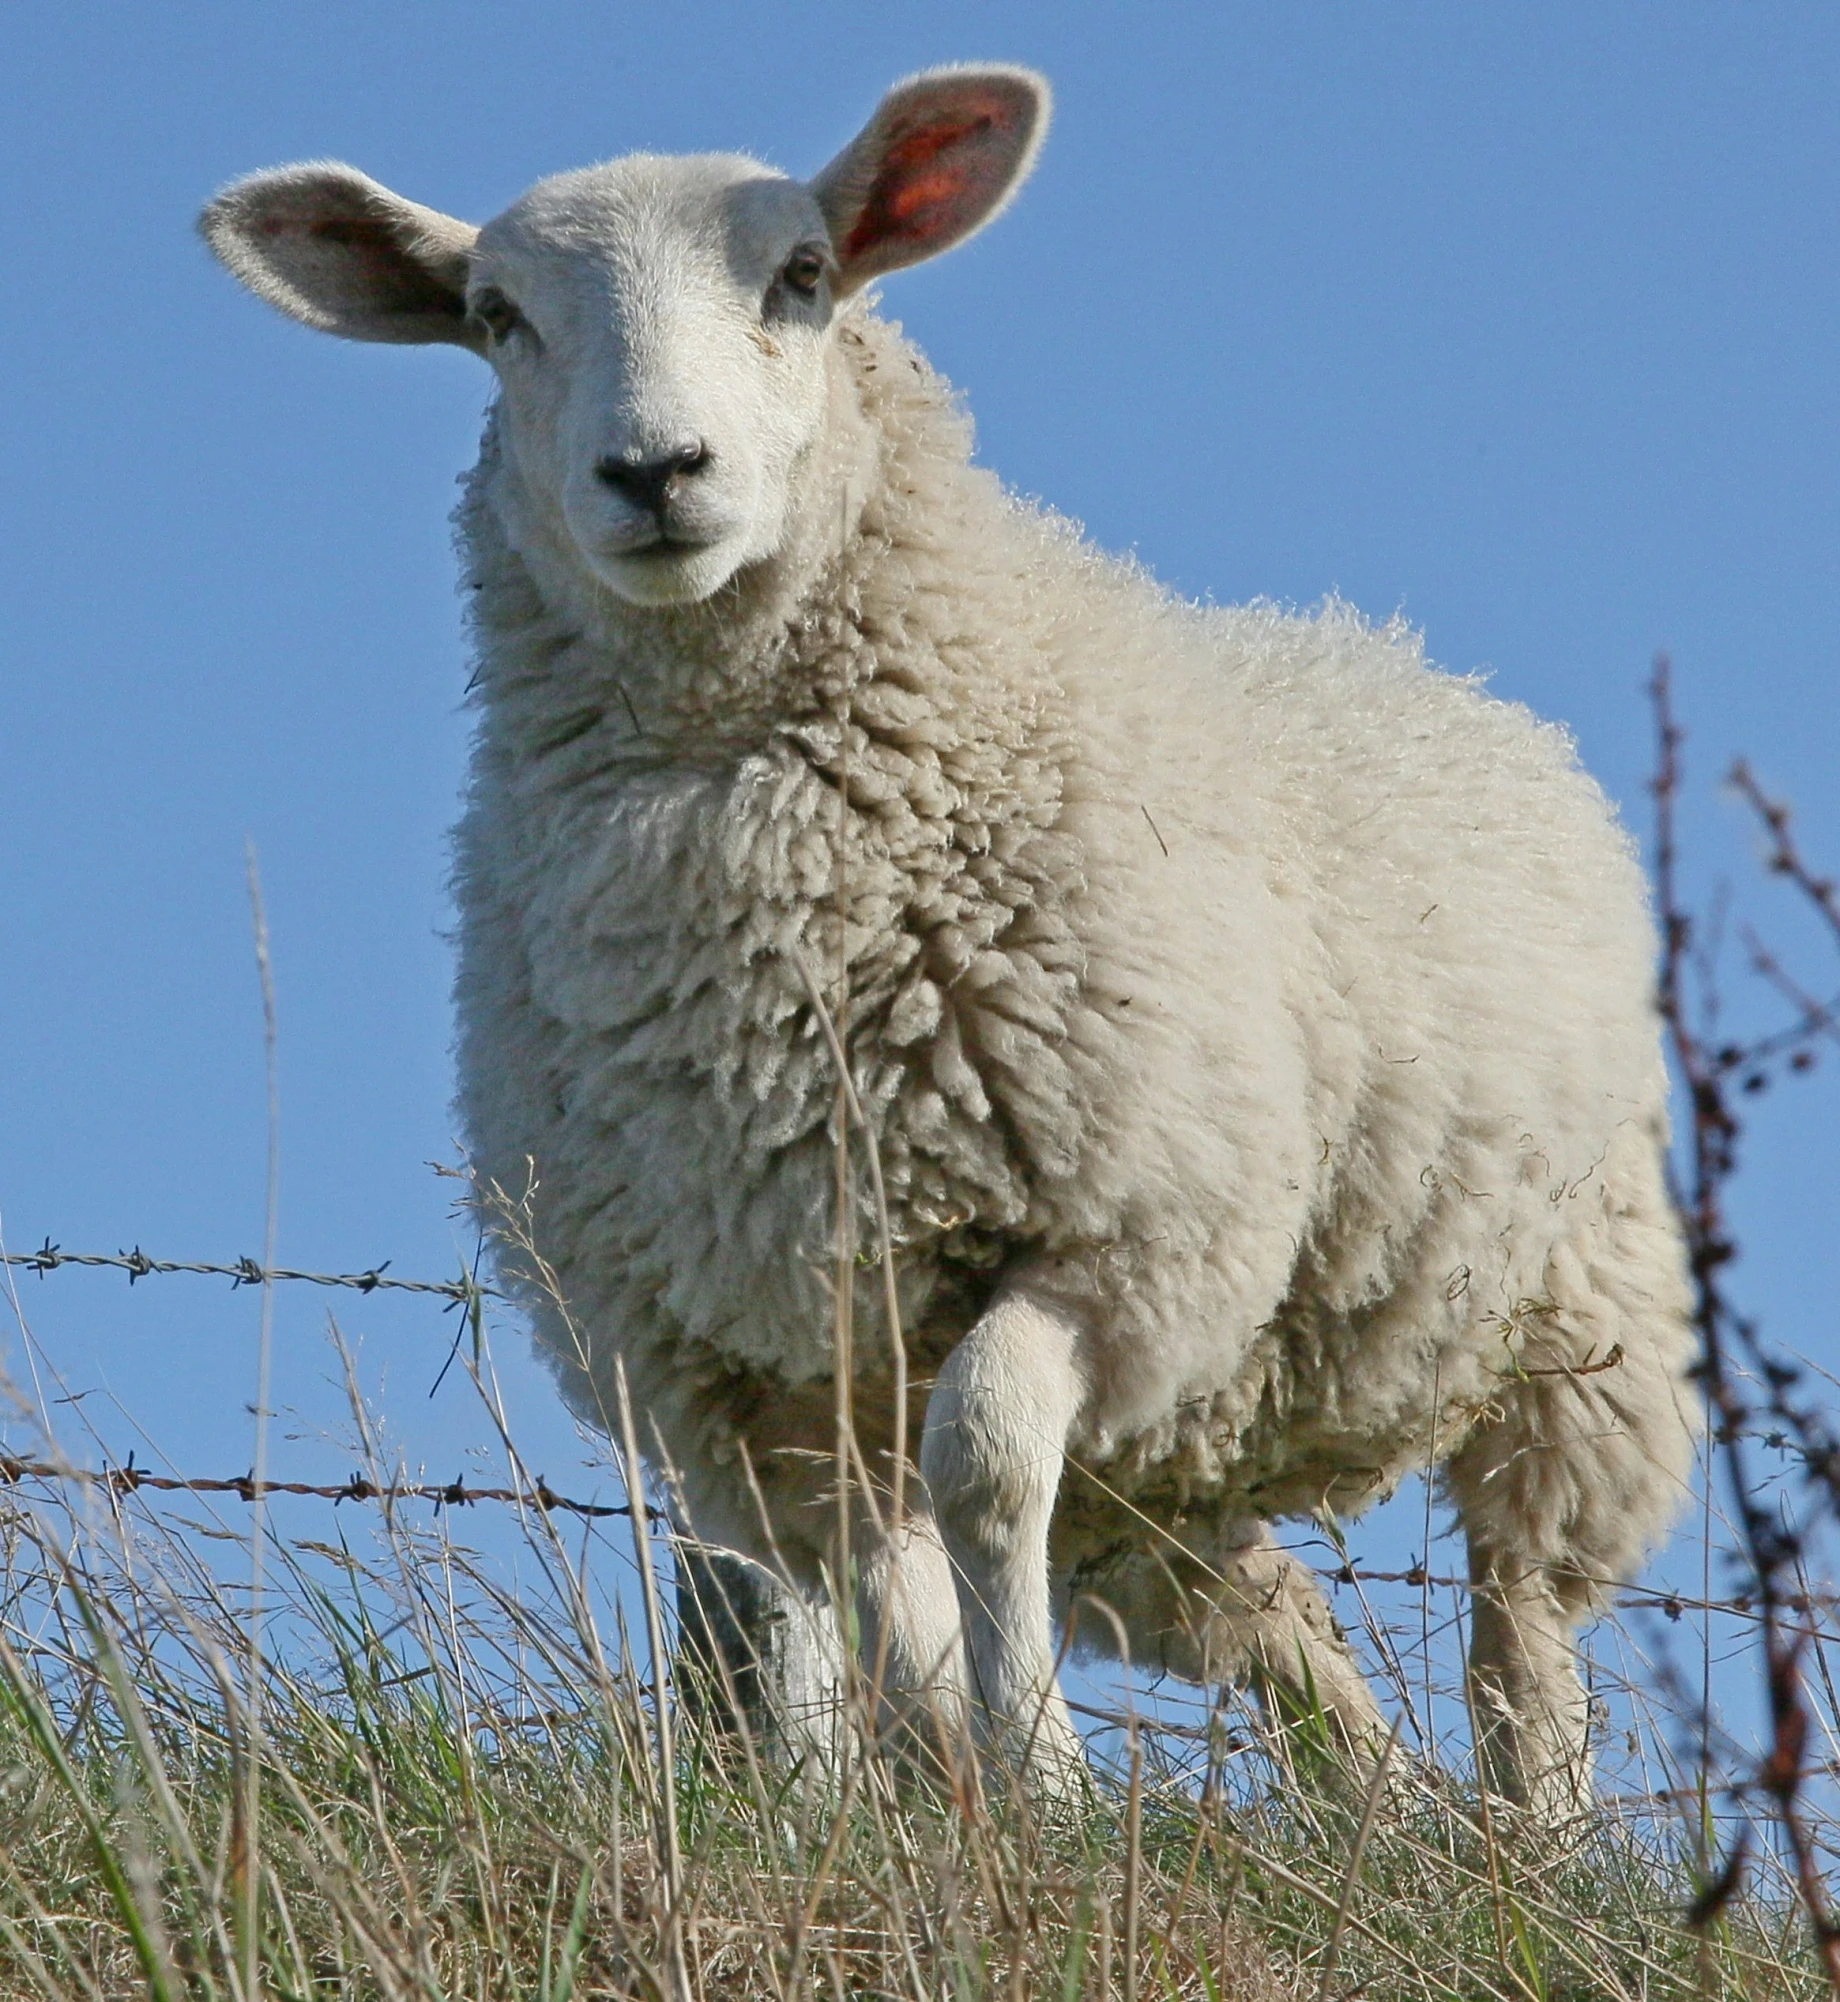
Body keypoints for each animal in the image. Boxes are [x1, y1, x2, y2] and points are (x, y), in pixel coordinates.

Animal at [205, 62, 1697, 1817]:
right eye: (497, 317)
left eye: (800, 274)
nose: (655, 471)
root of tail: (1394, 653)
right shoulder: (758, 1372)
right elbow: (879, 1576)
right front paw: (961, 1793)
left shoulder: (1121, 1238)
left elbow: (982, 1465)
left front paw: (1038, 1774)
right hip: (1172, 1473)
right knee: (1279, 1623)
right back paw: (1389, 1815)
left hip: (1575, 1319)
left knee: (1525, 1613)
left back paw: (1531, 1839)